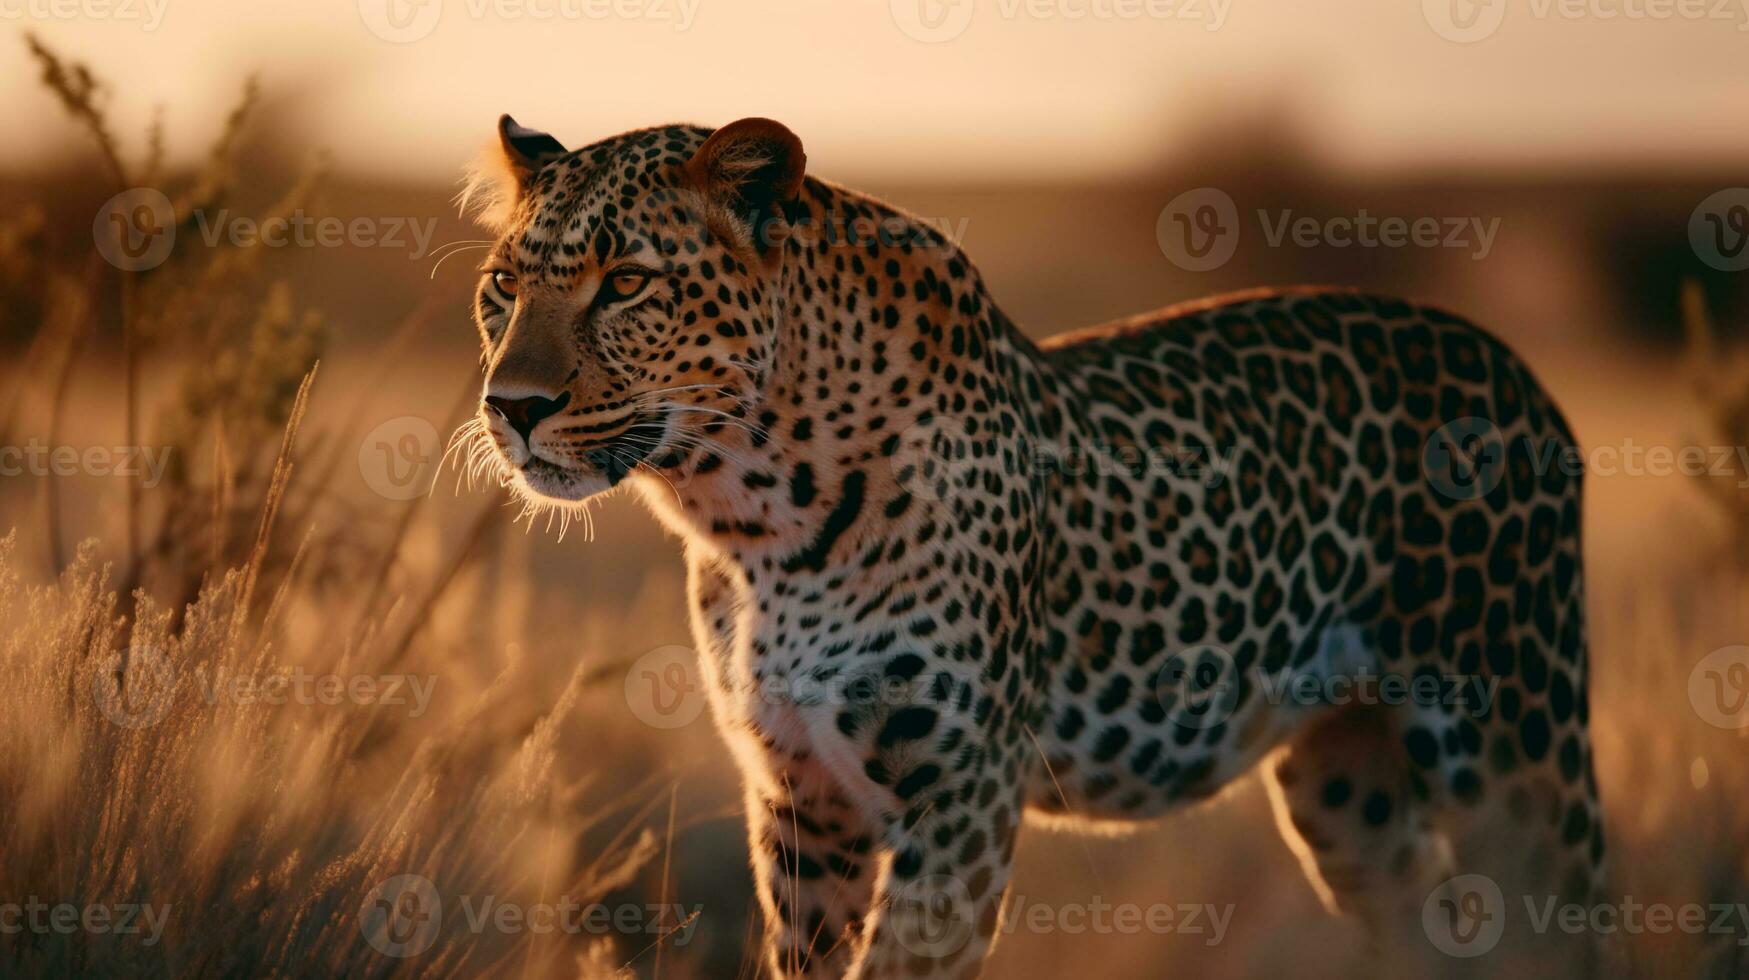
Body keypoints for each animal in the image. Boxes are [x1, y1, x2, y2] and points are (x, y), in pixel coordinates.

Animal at [458, 116, 1602, 980]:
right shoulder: (800, 799)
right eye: (503, 286)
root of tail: (1520, 372)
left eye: (626, 283)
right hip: (1347, 789)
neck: (744, 516)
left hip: (1513, 743)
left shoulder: (955, 797)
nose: (512, 407)